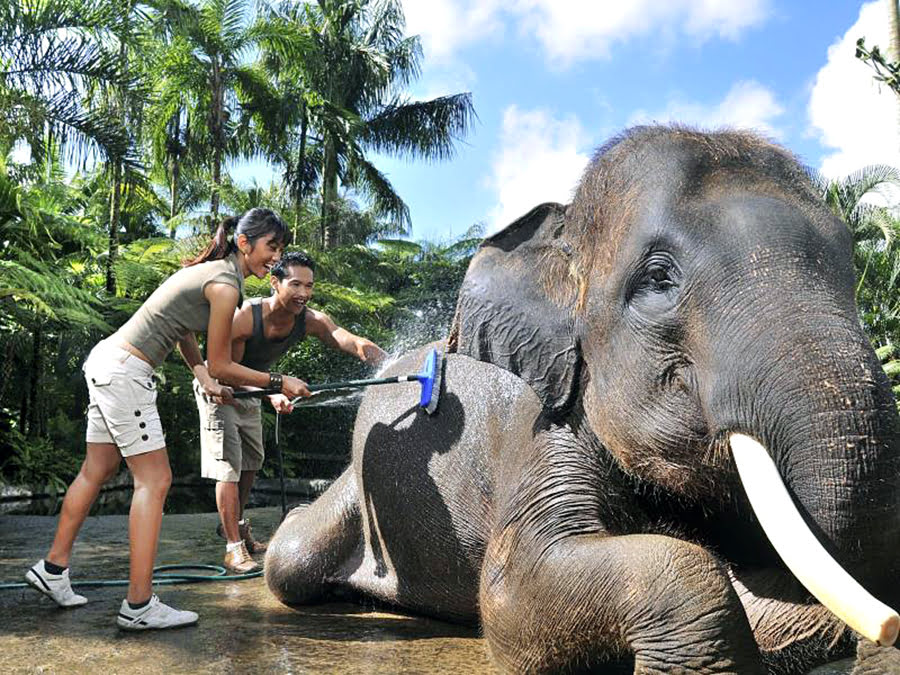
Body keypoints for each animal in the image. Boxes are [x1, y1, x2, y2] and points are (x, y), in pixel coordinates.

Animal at [264, 124, 900, 672]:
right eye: (658, 280)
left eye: (849, 264)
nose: (888, 626)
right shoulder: (541, 424)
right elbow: (510, 590)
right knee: (290, 559)